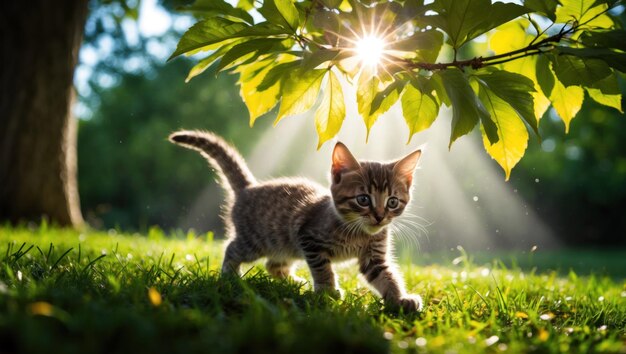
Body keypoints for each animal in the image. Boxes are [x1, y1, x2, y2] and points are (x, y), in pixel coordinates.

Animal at [169, 130, 424, 310]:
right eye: (363, 199)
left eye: (392, 202)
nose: (379, 217)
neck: (356, 231)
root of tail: (248, 188)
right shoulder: (308, 238)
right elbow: (322, 268)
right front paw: (327, 292)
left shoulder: (374, 255)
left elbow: (386, 276)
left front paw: (400, 299)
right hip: (256, 242)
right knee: (232, 248)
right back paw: (230, 277)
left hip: (284, 245)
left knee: (272, 265)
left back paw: (294, 282)